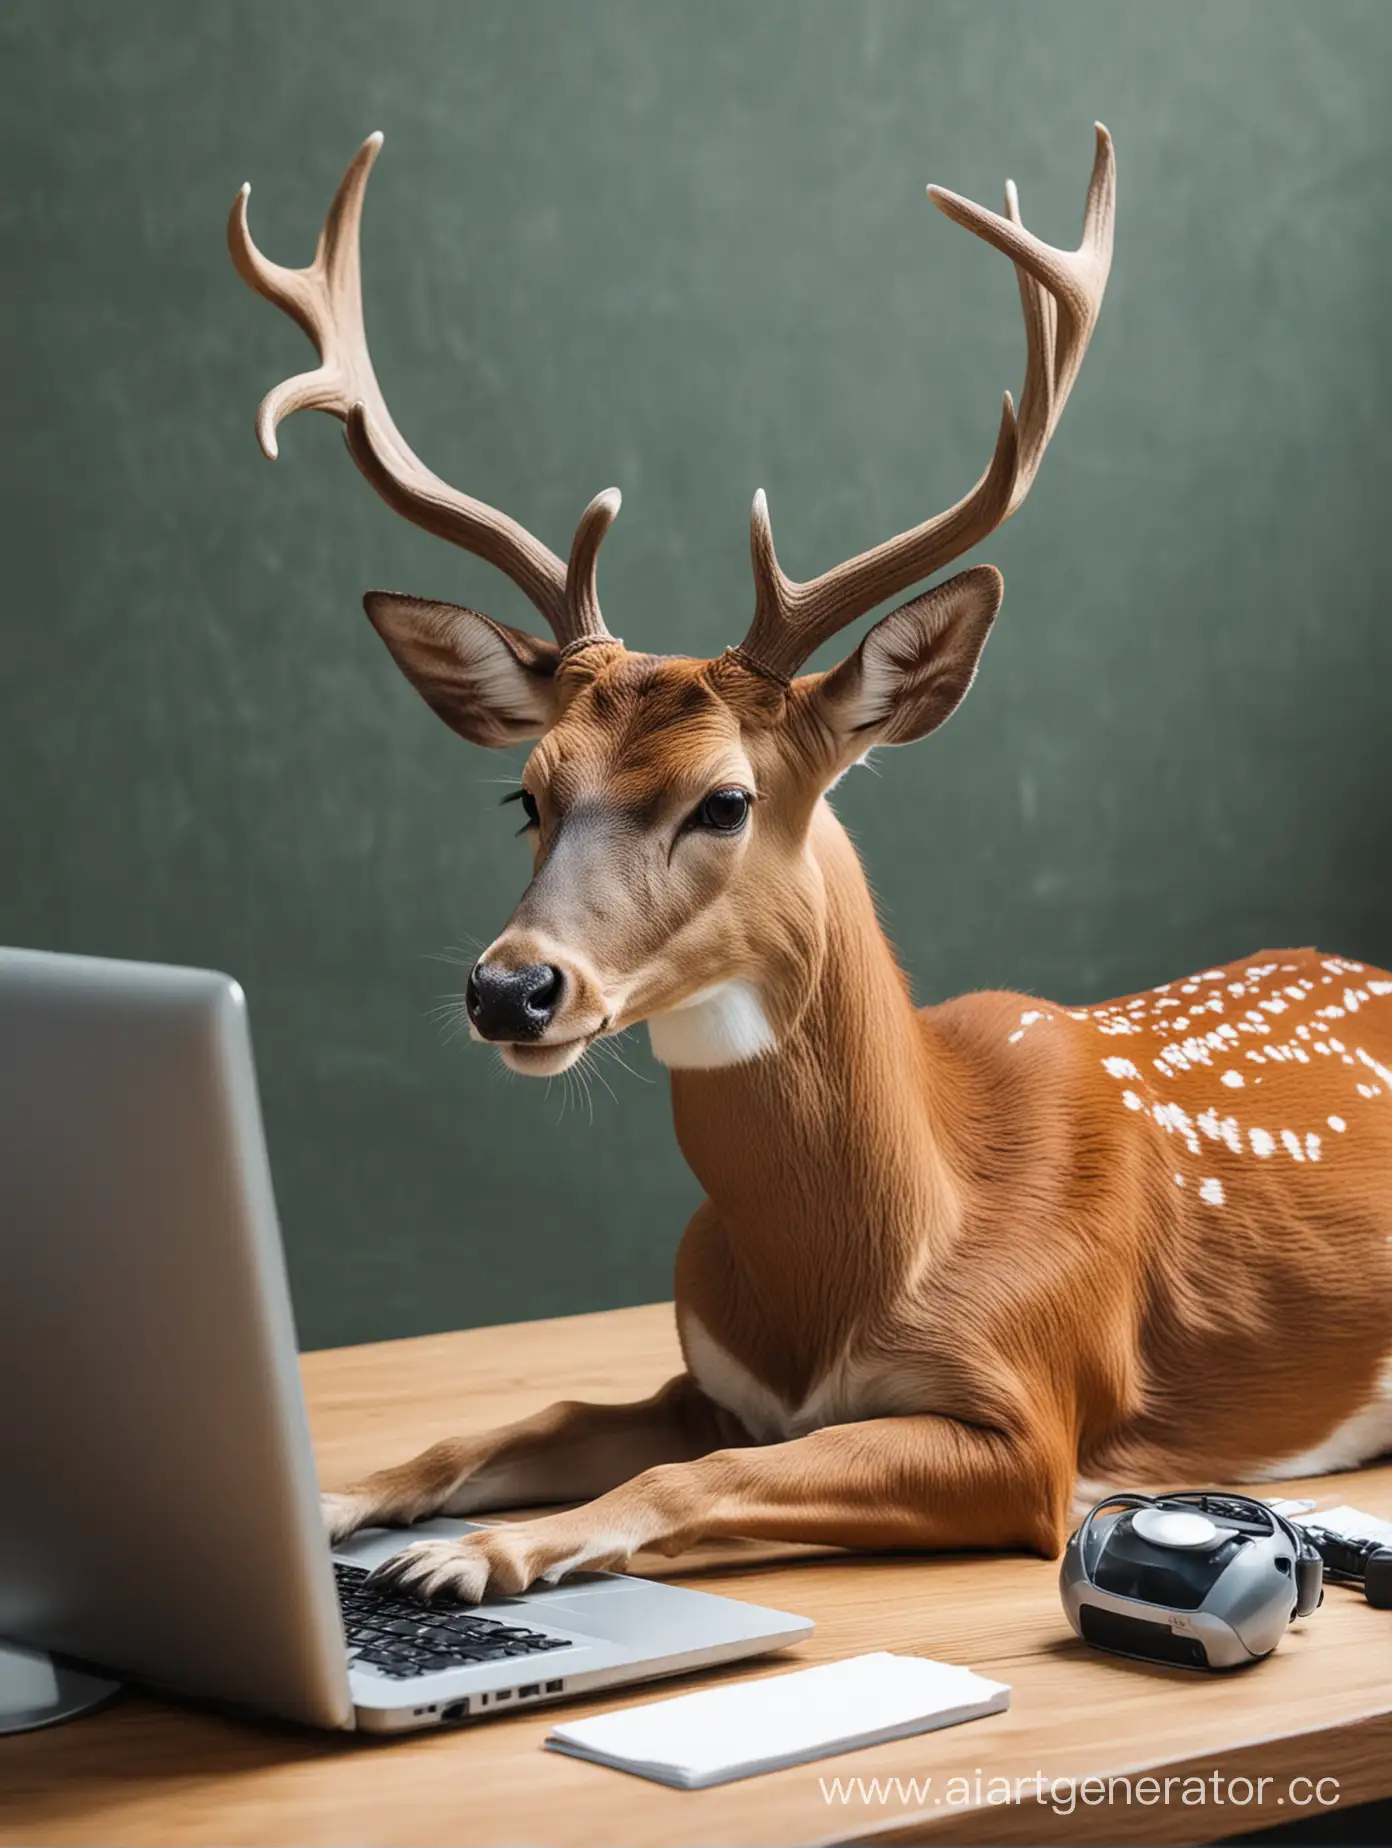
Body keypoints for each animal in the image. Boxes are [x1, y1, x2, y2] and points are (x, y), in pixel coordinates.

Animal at [231, 130, 1390, 1604]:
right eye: (526, 794)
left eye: (724, 800)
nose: (512, 991)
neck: (869, 1255)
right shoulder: (704, 1378)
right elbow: (526, 1418)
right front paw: (326, 1503)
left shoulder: (1030, 1415)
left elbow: (697, 1476)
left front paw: (475, 1558)